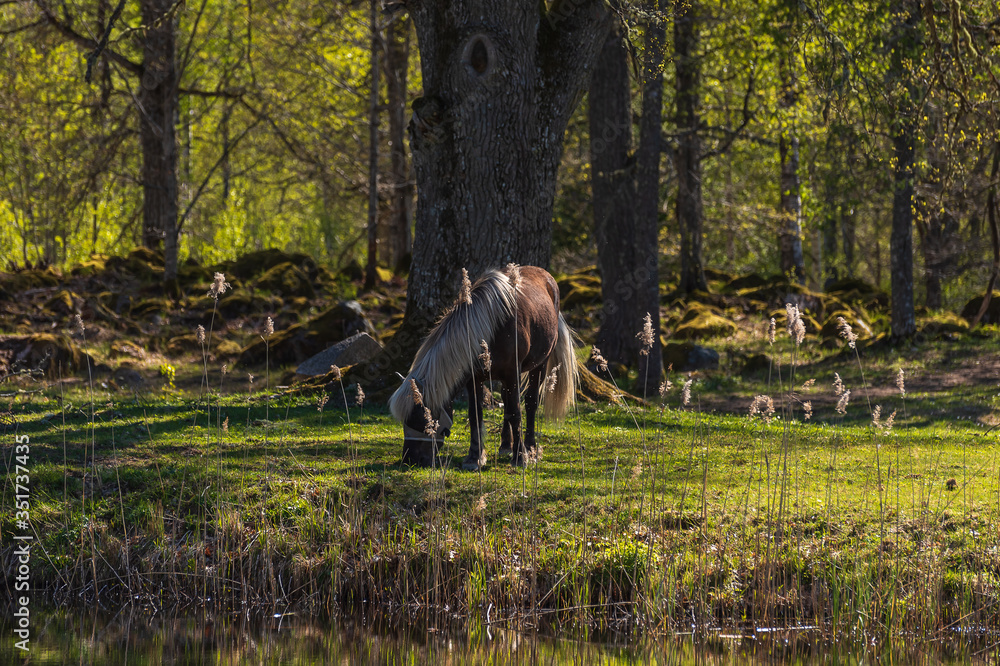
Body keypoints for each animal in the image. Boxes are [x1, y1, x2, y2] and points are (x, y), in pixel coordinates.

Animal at [389, 265, 577, 470]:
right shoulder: (474, 378)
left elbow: (516, 412)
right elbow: (476, 415)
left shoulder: (512, 373)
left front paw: (520, 457)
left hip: (540, 364)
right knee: (506, 401)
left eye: (422, 421)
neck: (491, 330)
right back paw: (505, 445)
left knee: (530, 402)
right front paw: (474, 457)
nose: (410, 459)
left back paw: (530, 448)